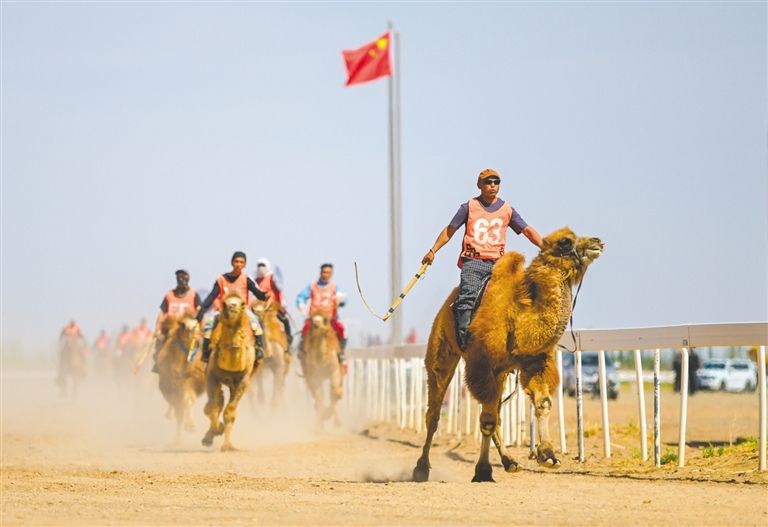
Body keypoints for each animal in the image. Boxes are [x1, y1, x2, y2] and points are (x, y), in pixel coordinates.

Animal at [202, 291, 258, 451]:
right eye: (223, 303)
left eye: (242, 304)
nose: (231, 307)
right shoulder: (211, 376)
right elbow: (211, 407)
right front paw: (216, 430)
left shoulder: (243, 380)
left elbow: (230, 412)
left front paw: (228, 446)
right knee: (218, 401)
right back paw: (209, 437)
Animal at [413, 227, 603, 482]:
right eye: (565, 242)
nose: (597, 241)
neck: (519, 319)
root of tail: (446, 305)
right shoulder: (482, 365)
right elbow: (487, 420)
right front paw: (483, 471)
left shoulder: (534, 362)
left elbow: (541, 403)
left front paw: (548, 455)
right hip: (442, 349)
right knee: (434, 412)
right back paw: (421, 468)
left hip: (501, 373)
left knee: (495, 412)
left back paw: (510, 461)